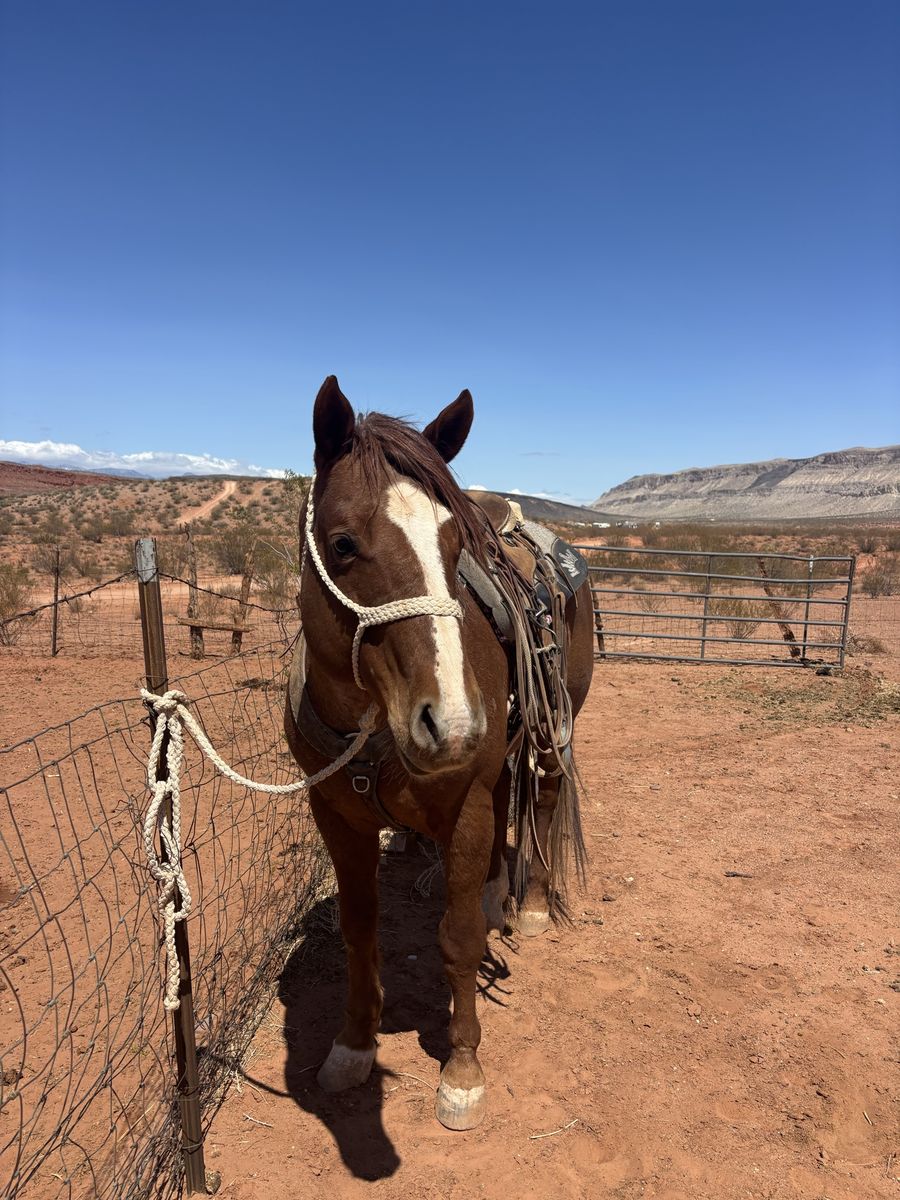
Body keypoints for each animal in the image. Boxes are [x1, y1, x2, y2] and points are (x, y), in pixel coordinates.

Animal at [284, 375, 594, 1131]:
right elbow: (359, 930)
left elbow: (455, 940)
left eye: (456, 547)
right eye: (342, 543)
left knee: (541, 798)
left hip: (552, 730)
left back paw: (529, 907)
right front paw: (353, 1047)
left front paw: (462, 1070)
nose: (450, 724)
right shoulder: (335, 814)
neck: (371, 727)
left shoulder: (467, 806)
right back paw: (494, 891)